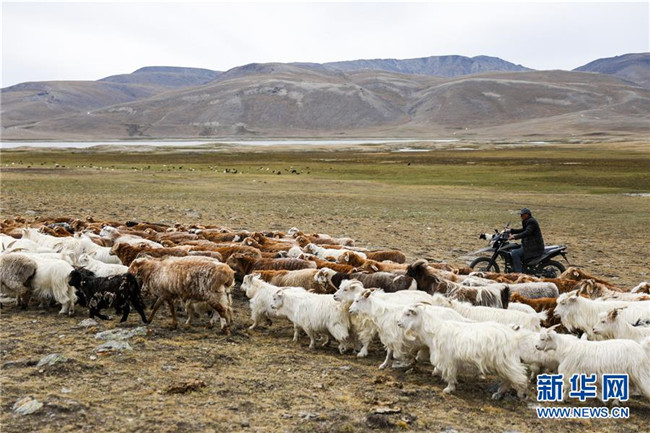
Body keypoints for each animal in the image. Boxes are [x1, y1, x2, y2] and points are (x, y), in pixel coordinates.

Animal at [397, 303, 529, 399]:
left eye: (408, 314)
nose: (398, 323)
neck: (435, 331)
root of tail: (513, 336)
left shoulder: (448, 360)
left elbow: (450, 375)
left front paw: (448, 389)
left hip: (506, 362)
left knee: (520, 377)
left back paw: (520, 393)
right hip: (502, 364)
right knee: (507, 379)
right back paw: (498, 393)